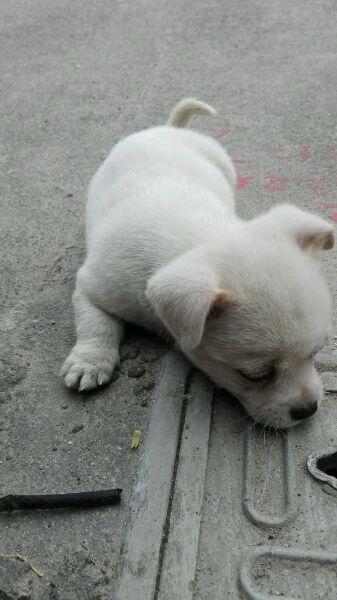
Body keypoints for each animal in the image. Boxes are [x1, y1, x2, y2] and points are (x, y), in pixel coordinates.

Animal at [61, 97, 334, 426]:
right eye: (255, 375)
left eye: (317, 352)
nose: (309, 410)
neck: (198, 238)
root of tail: (169, 129)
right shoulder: (95, 286)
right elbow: (96, 322)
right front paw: (89, 360)